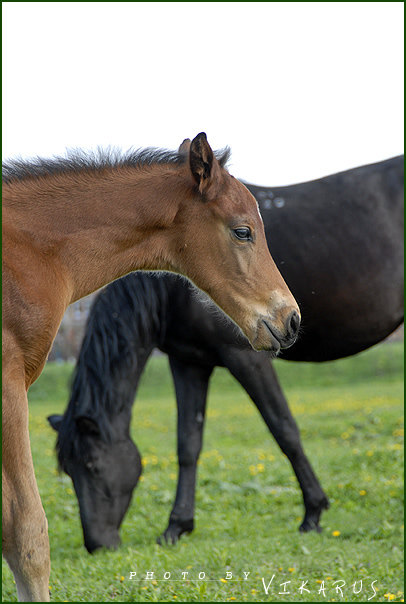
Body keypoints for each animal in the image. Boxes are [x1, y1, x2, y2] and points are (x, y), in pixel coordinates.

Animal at [47, 156, 402, 552]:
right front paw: (177, 526)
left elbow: (284, 429)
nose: (97, 545)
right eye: (68, 470)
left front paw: (313, 512)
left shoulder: (246, 356)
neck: (172, 285)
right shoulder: (188, 362)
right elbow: (188, 443)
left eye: (92, 465)